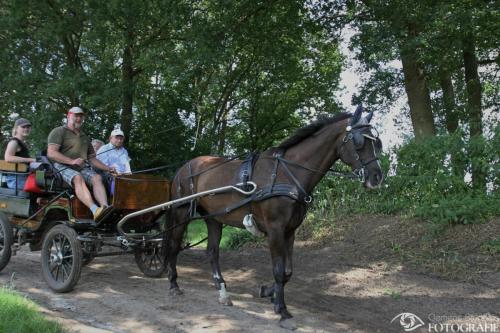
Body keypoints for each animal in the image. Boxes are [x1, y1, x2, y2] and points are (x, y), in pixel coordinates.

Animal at [164, 105, 382, 324]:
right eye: (359, 142)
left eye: (376, 142)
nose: (377, 177)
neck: (288, 173)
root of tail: (184, 167)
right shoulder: (275, 228)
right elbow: (278, 270)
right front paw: (281, 308)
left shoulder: (290, 230)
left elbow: (287, 271)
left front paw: (270, 293)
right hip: (182, 212)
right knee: (174, 245)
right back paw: (174, 284)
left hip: (214, 218)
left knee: (212, 252)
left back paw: (223, 292)